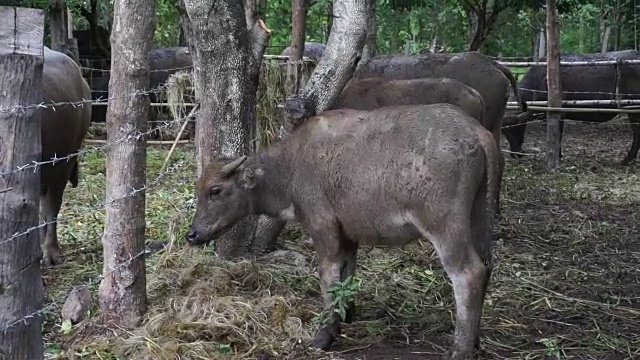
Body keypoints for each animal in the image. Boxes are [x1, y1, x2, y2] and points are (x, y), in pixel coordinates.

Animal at [185, 102, 500, 358]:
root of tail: (477, 133)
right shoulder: (348, 235)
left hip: (445, 227)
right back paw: (474, 341)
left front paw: (323, 336)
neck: (292, 165)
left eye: (215, 190)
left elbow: (329, 276)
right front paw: (346, 316)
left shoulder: (323, 227)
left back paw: (460, 349)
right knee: (486, 268)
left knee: (469, 274)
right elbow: (347, 273)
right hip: (479, 221)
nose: (193, 234)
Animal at [500, 50, 640, 164]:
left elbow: (558, 135)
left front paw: (559, 155)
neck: (540, 81)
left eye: (517, 128)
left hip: (633, 109)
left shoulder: (558, 113)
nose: (516, 154)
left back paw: (626, 159)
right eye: (504, 132)